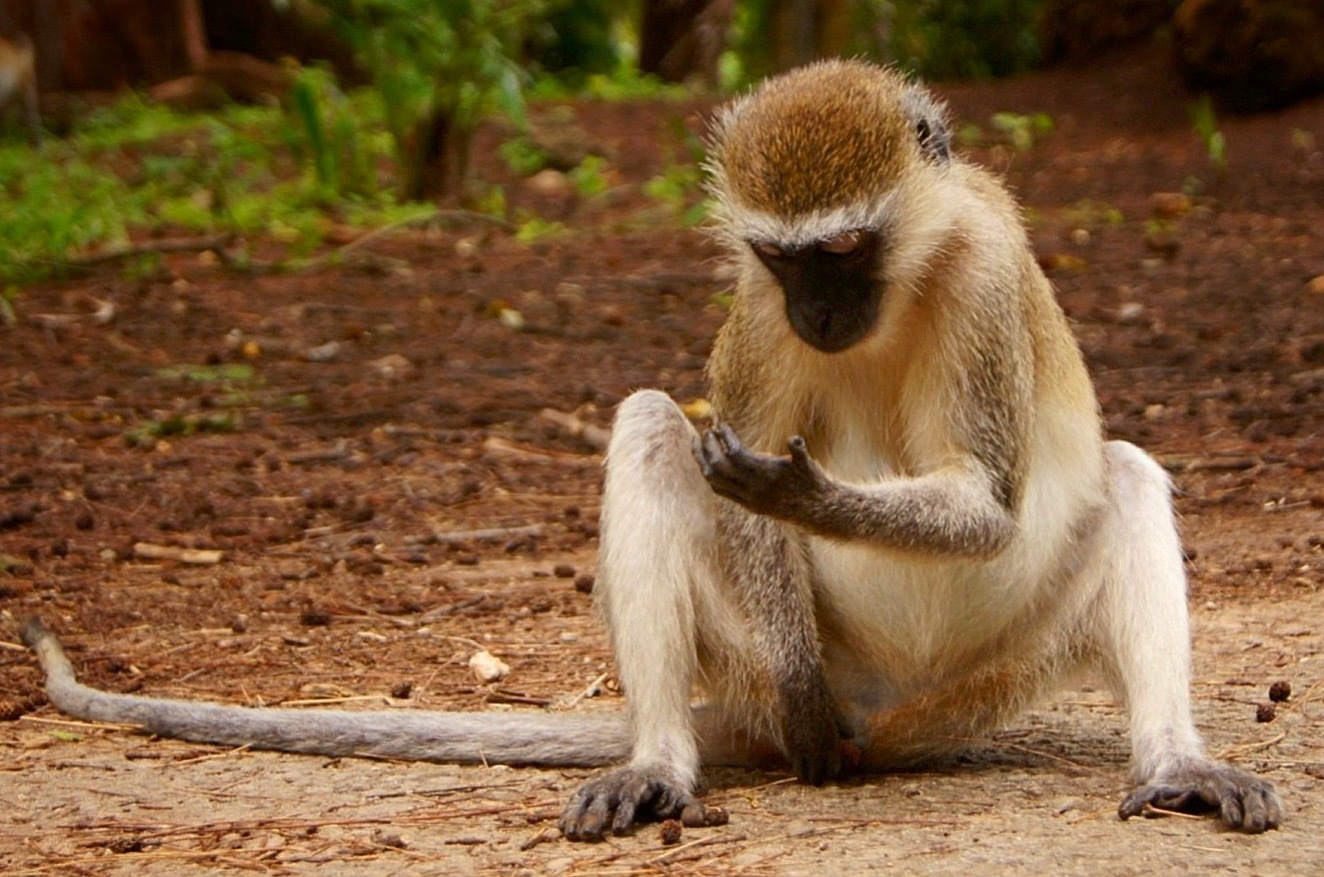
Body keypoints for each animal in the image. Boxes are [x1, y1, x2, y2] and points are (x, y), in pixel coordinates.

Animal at [23, 56, 1281, 847]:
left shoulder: (978, 267)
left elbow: (985, 497)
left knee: (1130, 477)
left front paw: (792, 484)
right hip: (773, 671)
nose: (819, 314)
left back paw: (1170, 762)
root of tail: (886, 711)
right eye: (784, 261)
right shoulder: (752, 309)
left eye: (845, 249)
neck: (902, 278)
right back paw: (670, 761)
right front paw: (756, 490)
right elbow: (708, 455)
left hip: (990, 676)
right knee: (641, 431)